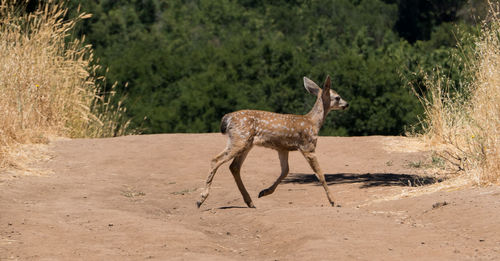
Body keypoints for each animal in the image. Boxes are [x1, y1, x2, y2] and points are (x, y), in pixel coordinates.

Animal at [195, 74, 348, 207]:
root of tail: (226, 119)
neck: (313, 122)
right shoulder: (308, 146)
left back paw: (250, 202)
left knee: (234, 167)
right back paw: (200, 199)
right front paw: (334, 201)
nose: (346, 104)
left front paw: (264, 192)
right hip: (240, 139)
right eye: (337, 97)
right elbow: (320, 174)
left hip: (246, 143)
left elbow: (285, 171)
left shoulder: (283, 148)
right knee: (216, 160)